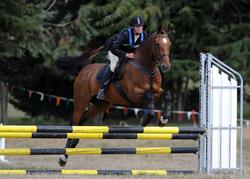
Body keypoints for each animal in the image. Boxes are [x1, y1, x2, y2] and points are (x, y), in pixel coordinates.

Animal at [58, 26, 172, 166]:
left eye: (169, 44)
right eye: (157, 44)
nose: (165, 67)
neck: (146, 67)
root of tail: (84, 69)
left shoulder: (157, 90)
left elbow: (167, 96)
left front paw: (163, 120)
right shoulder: (133, 94)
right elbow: (149, 97)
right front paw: (145, 120)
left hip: (100, 105)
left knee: (82, 121)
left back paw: (72, 146)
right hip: (81, 103)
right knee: (74, 124)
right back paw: (63, 158)